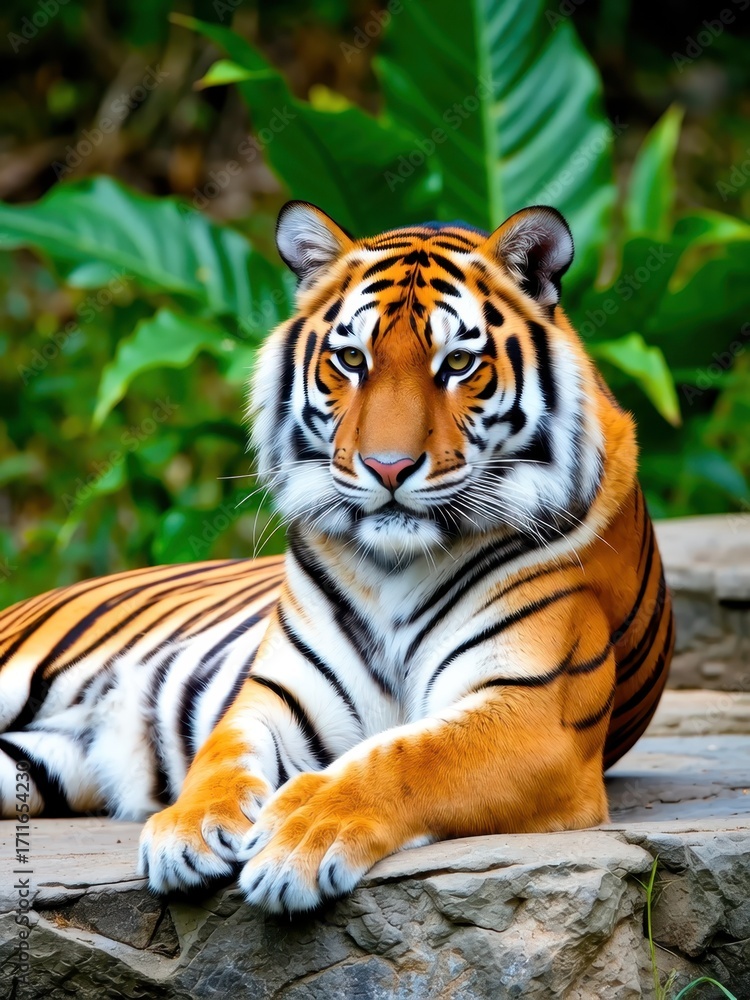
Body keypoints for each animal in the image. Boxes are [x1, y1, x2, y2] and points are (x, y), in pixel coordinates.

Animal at [0, 201, 673, 914]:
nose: (389, 467)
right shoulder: (274, 694)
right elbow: (221, 757)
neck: (398, 566)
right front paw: (188, 827)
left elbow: (405, 758)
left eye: (458, 364)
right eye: (351, 359)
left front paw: (300, 833)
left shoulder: (536, 712)